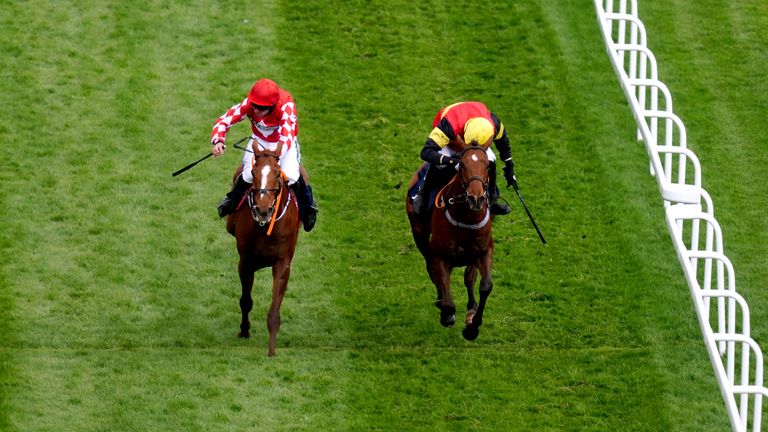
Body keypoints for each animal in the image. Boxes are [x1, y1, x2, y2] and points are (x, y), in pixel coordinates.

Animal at [225, 143, 300, 356]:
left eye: (277, 173)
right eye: (253, 172)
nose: (263, 210)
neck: (265, 227)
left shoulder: (283, 264)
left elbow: (274, 311)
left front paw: (272, 350)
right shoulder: (246, 261)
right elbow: (245, 301)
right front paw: (244, 331)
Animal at [404, 145, 496, 340]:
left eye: (487, 166)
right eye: (463, 166)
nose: (476, 198)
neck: (465, 218)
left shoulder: (483, 251)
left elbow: (484, 285)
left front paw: (472, 325)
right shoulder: (440, 256)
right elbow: (443, 285)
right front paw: (447, 313)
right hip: (419, 232)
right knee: (431, 269)